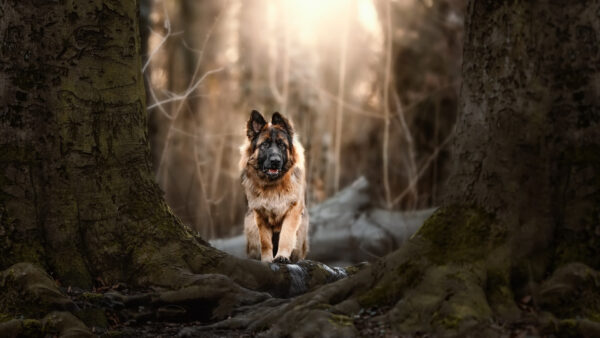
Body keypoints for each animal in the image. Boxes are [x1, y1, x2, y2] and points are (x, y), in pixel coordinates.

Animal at [239, 111, 310, 264]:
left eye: (282, 145)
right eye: (265, 144)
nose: (275, 161)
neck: (273, 185)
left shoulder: (292, 212)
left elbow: (286, 236)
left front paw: (282, 256)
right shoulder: (260, 215)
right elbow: (265, 242)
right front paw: (267, 260)